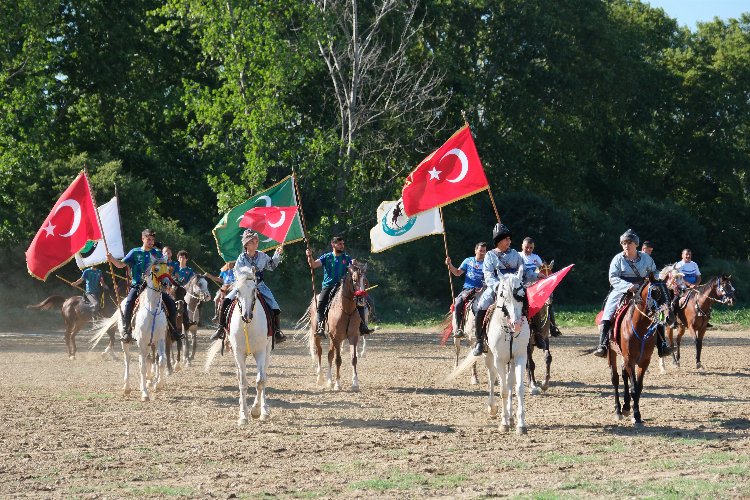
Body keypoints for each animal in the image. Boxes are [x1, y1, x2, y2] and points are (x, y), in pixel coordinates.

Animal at [206, 268, 274, 424]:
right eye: (237, 290)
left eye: (254, 289)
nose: (247, 315)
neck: (248, 325)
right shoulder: (238, 352)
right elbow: (242, 383)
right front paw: (243, 415)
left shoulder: (260, 351)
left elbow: (260, 381)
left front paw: (256, 411)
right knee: (239, 376)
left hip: (267, 351)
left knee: (264, 376)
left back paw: (265, 410)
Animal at [308, 262, 370, 390]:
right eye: (354, 280)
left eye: (365, 282)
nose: (361, 299)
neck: (347, 309)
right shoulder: (336, 338)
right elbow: (338, 360)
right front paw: (337, 384)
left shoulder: (353, 337)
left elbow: (353, 358)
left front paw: (355, 383)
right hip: (319, 336)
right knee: (320, 352)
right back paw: (320, 378)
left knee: (329, 355)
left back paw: (329, 380)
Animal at [484, 274, 532, 434]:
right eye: (502, 294)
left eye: (522, 294)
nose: (516, 324)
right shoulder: (499, 360)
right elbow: (503, 390)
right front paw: (503, 423)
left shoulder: (520, 357)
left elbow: (518, 388)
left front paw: (520, 424)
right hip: (489, 357)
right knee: (492, 377)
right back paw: (492, 408)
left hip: (510, 361)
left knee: (510, 383)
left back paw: (511, 418)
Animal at [608, 274, 672, 426]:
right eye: (655, 292)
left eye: (669, 292)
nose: (669, 317)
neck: (640, 327)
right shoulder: (630, 359)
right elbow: (633, 387)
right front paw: (635, 415)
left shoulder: (643, 361)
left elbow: (638, 387)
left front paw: (636, 413)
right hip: (612, 353)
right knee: (615, 378)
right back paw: (618, 410)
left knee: (624, 375)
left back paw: (626, 407)